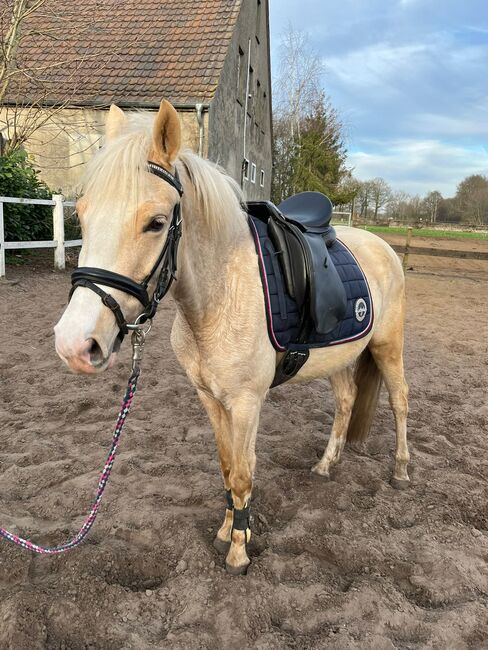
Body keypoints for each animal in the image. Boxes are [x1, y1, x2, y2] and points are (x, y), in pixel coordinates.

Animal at [55, 100, 410, 572]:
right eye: (81, 213)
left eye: (156, 222)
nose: (74, 344)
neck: (218, 296)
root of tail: (380, 244)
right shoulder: (209, 397)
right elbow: (226, 466)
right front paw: (228, 529)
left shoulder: (245, 403)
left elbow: (243, 472)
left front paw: (240, 550)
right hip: (340, 354)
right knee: (347, 401)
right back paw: (325, 464)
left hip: (388, 347)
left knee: (401, 400)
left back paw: (402, 470)